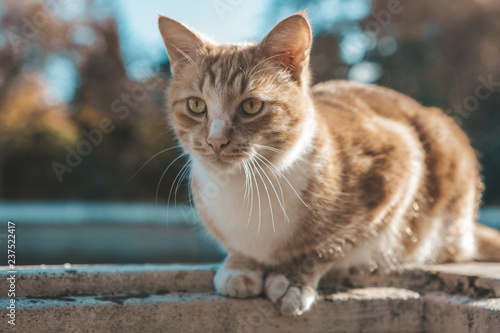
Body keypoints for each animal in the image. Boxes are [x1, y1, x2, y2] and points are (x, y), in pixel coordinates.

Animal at [157, 11, 500, 316]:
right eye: (196, 105)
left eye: (251, 106)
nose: (215, 141)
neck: (247, 183)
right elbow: (239, 248)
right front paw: (240, 265)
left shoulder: (400, 159)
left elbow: (330, 246)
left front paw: (293, 279)